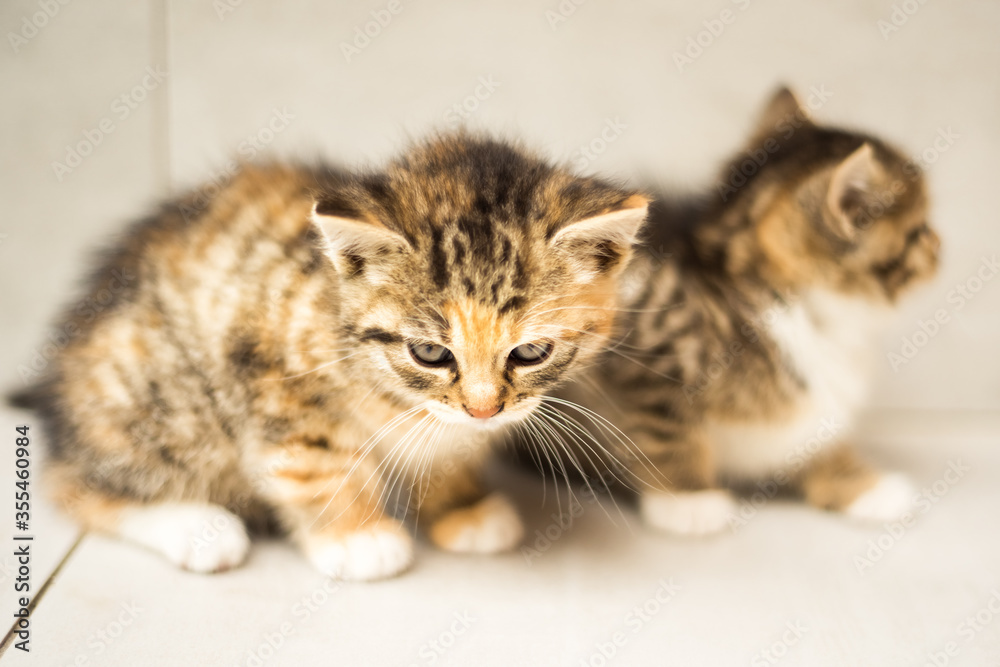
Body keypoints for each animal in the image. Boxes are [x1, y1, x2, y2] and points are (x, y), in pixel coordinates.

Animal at [11, 132, 652, 580]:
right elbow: (315, 462)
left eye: (530, 352)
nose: (483, 411)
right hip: (161, 392)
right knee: (69, 481)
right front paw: (358, 536)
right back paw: (197, 527)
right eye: (429, 352)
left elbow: (444, 449)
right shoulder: (270, 367)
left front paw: (463, 504)